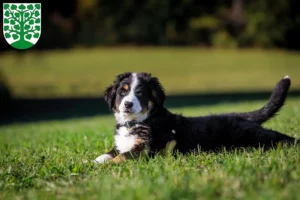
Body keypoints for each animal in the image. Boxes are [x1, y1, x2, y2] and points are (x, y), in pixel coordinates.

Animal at [95, 72, 296, 164]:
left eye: (140, 93)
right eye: (122, 92)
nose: (128, 104)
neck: (135, 122)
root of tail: (237, 115)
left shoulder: (145, 150)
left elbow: (121, 157)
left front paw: (103, 167)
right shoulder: (122, 144)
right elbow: (109, 153)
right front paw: (94, 162)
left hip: (254, 136)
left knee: (280, 138)